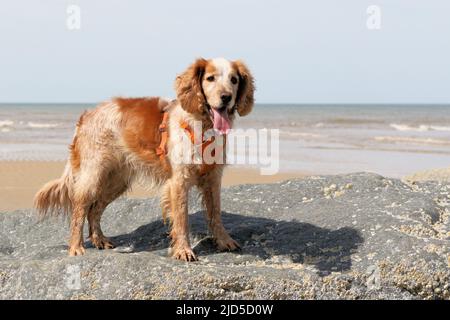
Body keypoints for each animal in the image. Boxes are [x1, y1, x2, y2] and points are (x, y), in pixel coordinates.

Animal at [35, 57, 253, 262]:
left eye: (234, 80)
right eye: (210, 78)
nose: (226, 97)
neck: (201, 125)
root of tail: (87, 115)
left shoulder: (213, 179)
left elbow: (215, 214)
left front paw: (224, 240)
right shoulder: (179, 181)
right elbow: (182, 219)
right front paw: (183, 250)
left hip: (117, 181)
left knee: (94, 210)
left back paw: (100, 240)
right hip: (92, 175)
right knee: (79, 209)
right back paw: (76, 246)